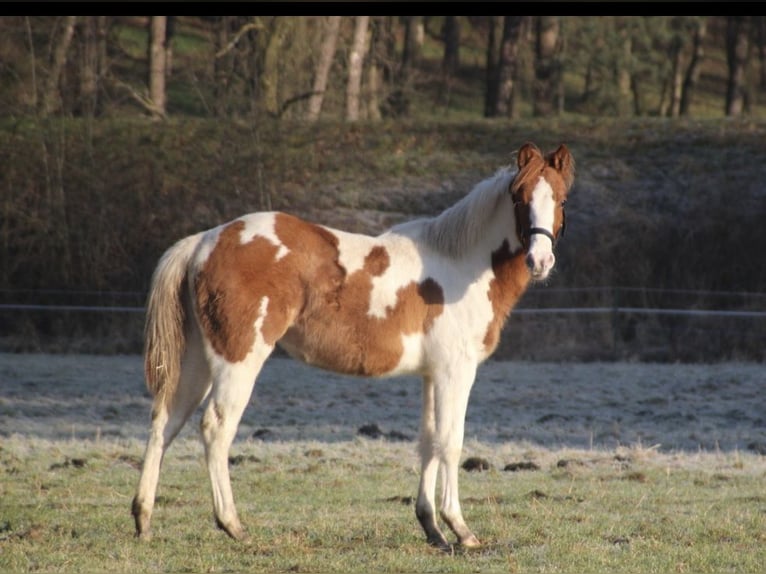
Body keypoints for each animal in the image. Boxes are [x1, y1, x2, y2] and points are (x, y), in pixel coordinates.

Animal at [131, 141, 575, 550]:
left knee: (165, 423)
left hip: (196, 361)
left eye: (560, 198)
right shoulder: (456, 372)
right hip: (238, 359)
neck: (461, 264)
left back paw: (144, 519)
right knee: (216, 427)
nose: (540, 261)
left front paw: (432, 528)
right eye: (519, 198)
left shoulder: (432, 375)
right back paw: (232, 524)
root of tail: (204, 240)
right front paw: (461, 530)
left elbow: (428, 441)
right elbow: (451, 442)